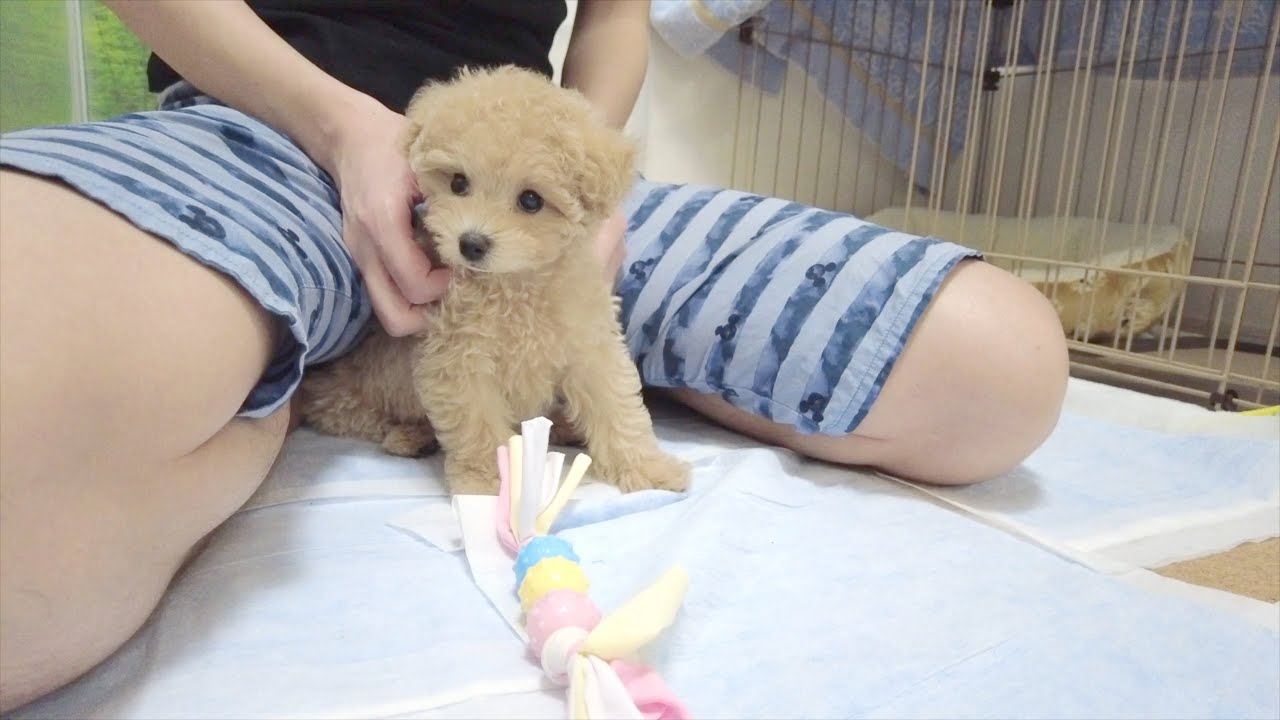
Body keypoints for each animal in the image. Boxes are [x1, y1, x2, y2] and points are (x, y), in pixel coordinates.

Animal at [298, 65, 691, 496]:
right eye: (458, 183)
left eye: (531, 200)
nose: (470, 242)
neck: (514, 285)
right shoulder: (458, 360)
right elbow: (478, 427)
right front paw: (486, 481)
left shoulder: (589, 344)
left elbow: (616, 405)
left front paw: (648, 467)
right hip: (357, 391)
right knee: (347, 413)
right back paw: (408, 436)